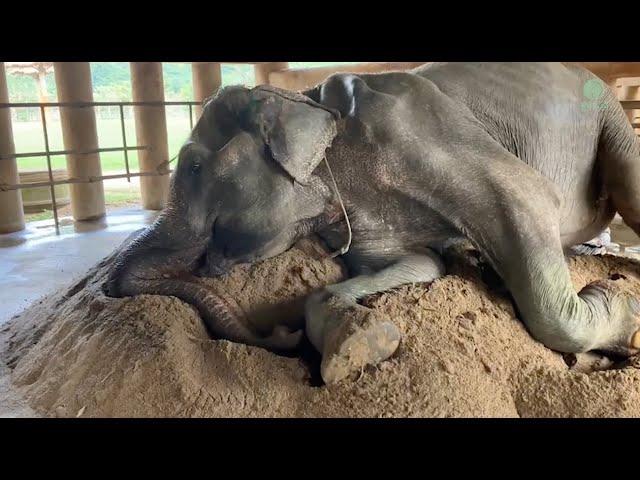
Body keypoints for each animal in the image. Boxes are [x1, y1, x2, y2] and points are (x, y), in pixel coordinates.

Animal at [105, 63, 640, 384]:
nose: (280, 335)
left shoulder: (425, 132)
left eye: (194, 166)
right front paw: (359, 345)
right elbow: (421, 264)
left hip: (610, 117)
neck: (308, 101)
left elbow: (528, 197)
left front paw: (624, 311)